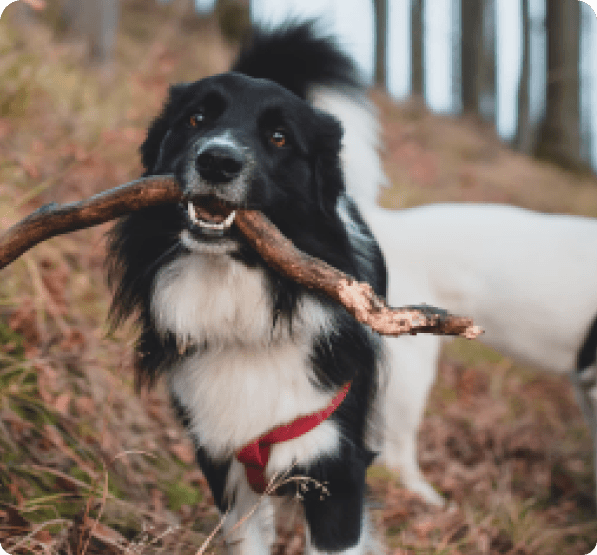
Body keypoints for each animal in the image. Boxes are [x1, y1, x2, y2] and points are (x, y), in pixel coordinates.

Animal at [107, 23, 394, 552]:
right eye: (196, 118)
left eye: (279, 138)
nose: (217, 162)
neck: (238, 293)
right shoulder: (224, 463)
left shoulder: (336, 470)